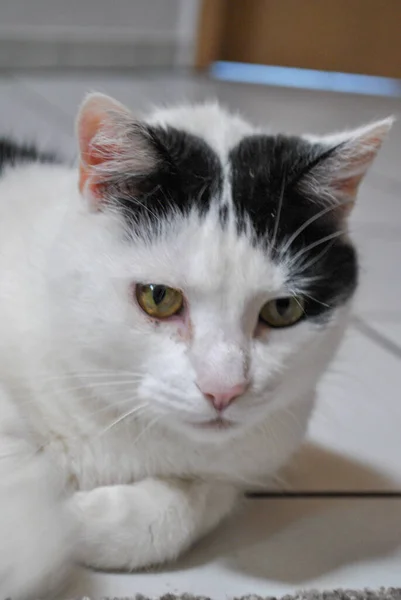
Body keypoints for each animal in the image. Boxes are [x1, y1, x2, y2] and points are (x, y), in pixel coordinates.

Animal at [0, 94, 390, 596]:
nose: (224, 390)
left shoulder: (251, 456)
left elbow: (191, 507)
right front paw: (32, 535)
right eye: (158, 297)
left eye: (283, 309)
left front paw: (79, 520)